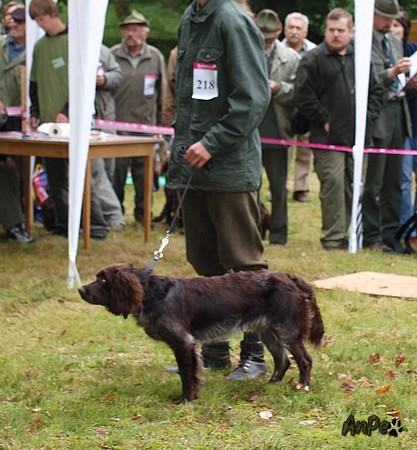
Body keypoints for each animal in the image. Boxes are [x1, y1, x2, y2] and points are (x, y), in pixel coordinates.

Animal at [78, 263, 324, 403]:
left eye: (103, 279)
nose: (80, 289)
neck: (152, 294)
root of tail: (290, 278)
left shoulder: (183, 342)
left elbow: (187, 374)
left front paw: (186, 399)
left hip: (286, 330)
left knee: (305, 360)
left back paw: (303, 387)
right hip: (267, 331)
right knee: (283, 360)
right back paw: (271, 385)